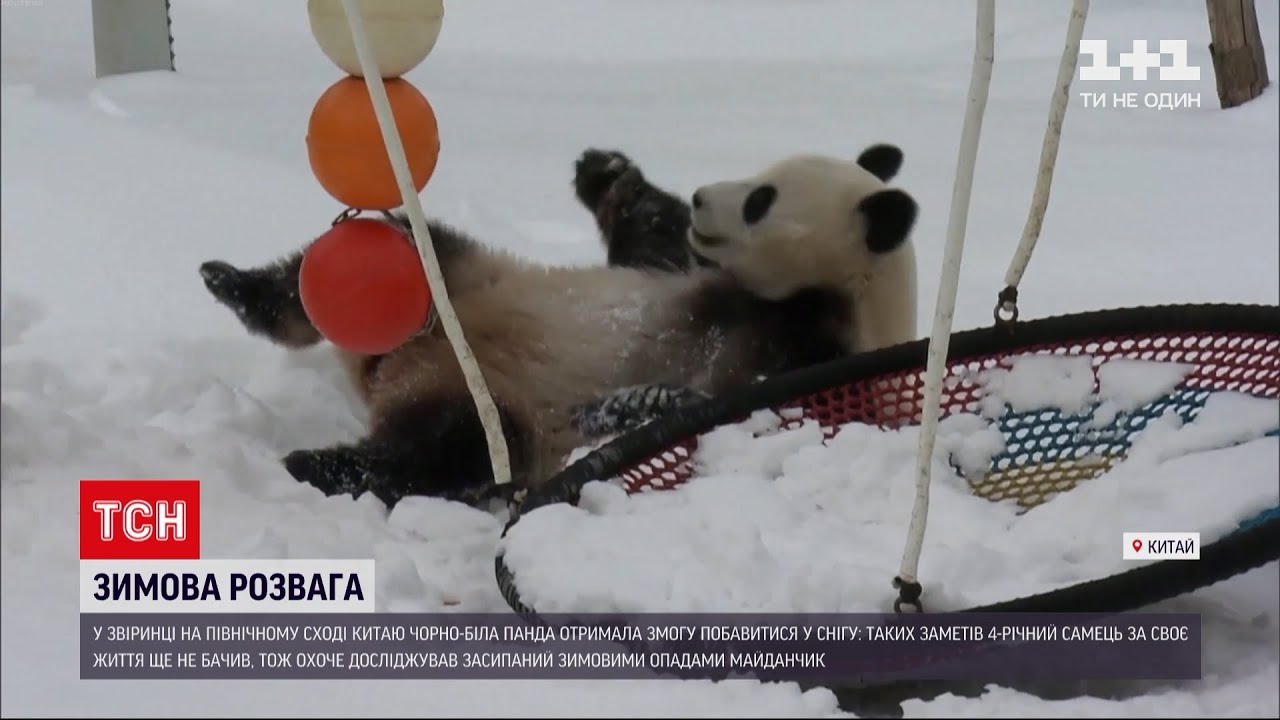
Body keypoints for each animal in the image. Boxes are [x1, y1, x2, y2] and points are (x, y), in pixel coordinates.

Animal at [197, 142, 919, 509]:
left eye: (761, 200)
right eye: (760, 178)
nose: (699, 199)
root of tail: (387, 370)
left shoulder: (810, 353)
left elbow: (732, 402)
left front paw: (641, 404)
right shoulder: (684, 272)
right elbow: (650, 238)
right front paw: (610, 171)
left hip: (501, 410)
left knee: (437, 451)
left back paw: (320, 464)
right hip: (467, 278)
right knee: (401, 242)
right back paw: (237, 284)